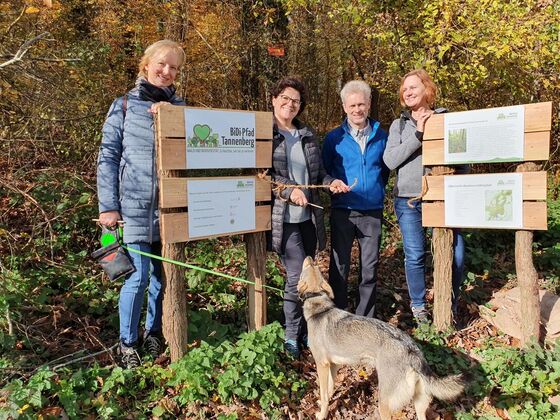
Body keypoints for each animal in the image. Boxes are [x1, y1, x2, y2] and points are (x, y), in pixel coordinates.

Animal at [298, 256, 464, 420]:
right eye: (315, 266)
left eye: (310, 266)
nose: (309, 256)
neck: (320, 309)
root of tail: (412, 352)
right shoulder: (334, 365)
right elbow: (329, 389)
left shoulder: (322, 364)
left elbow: (324, 394)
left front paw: (321, 414)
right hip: (419, 404)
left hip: (384, 402)